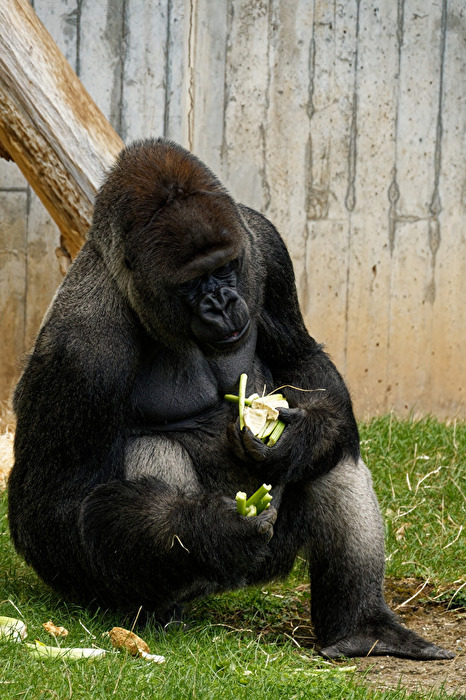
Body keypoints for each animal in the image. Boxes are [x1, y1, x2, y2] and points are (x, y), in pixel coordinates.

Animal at [8, 138, 453, 660]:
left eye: (224, 269)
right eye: (190, 283)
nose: (221, 304)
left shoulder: (264, 244)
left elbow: (303, 362)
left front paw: (301, 437)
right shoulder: (79, 348)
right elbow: (52, 503)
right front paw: (203, 529)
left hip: (272, 554)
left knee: (335, 452)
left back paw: (362, 625)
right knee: (150, 459)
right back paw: (154, 610)